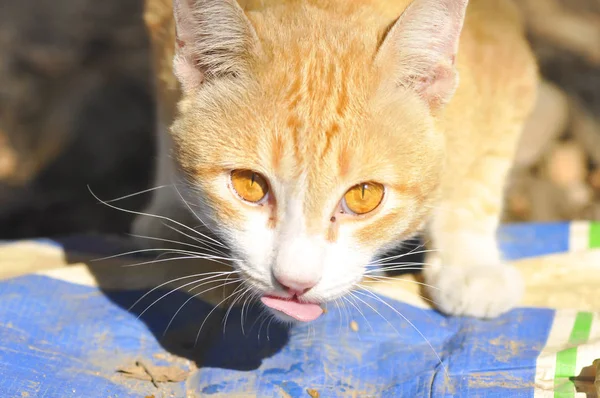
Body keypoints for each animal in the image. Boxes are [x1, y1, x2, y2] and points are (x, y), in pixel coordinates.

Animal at [135, 0, 540, 324]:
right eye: (249, 184)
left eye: (364, 195)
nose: (295, 284)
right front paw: (171, 211)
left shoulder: (509, 66)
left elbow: (476, 177)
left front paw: (472, 264)